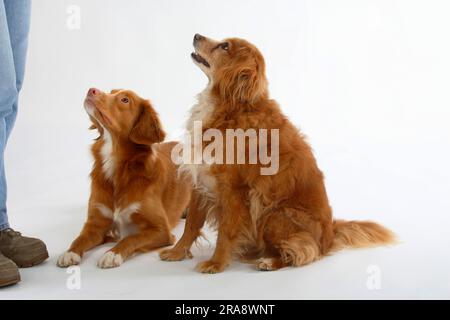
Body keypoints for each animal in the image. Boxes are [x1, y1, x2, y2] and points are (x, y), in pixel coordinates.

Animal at [57, 87, 192, 268]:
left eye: (125, 100)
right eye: (111, 91)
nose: (91, 89)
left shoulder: (162, 230)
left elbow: (131, 238)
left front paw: (112, 253)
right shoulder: (95, 224)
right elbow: (79, 238)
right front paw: (70, 252)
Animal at [160, 35, 396, 276]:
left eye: (224, 46)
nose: (196, 36)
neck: (231, 108)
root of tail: (329, 236)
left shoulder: (234, 190)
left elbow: (226, 231)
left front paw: (216, 263)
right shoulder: (201, 179)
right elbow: (191, 224)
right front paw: (177, 252)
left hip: (272, 214)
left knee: (300, 251)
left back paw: (269, 261)